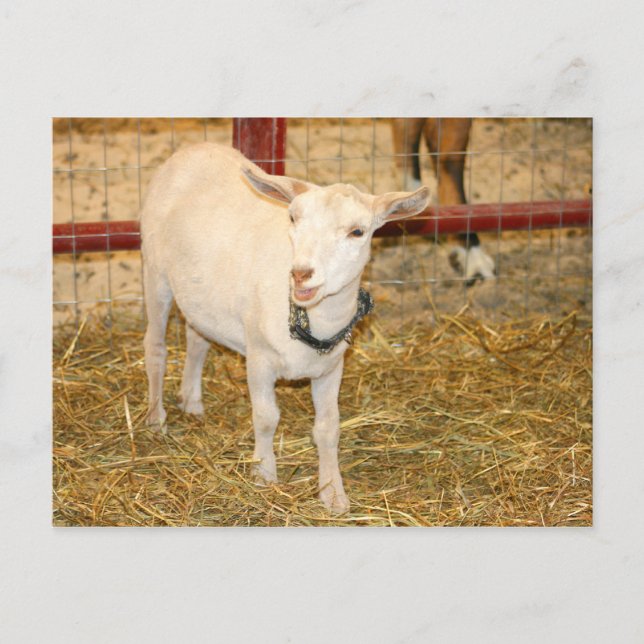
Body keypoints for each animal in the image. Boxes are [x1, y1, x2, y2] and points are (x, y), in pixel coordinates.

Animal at [140, 142, 430, 514]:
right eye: (293, 218)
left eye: (357, 231)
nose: (301, 273)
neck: (308, 319)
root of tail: (194, 148)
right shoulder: (259, 358)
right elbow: (266, 417)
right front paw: (264, 475)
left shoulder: (331, 367)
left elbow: (329, 428)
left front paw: (333, 493)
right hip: (155, 272)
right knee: (155, 347)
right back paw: (156, 418)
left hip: (200, 292)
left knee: (197, 336)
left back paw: (191, 401)